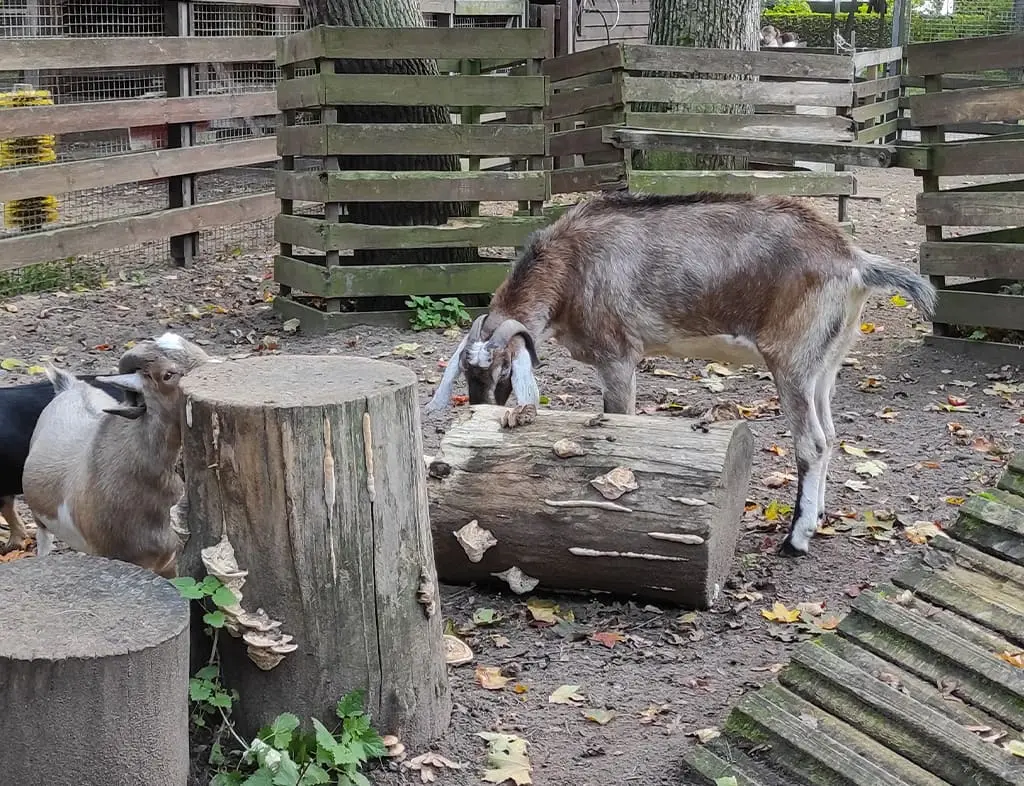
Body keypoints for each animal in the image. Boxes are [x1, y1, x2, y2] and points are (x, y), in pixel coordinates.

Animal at [424, 191, 937, 557]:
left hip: (790, 362)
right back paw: (819, 517)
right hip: (824, 365)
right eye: (468, 374)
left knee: (811, 443)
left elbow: (619, 424)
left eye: (503, 369)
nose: (479, 411)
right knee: (830, 436)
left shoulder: (618, 357)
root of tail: (852, 258)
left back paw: (795, 540)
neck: (571, 264)